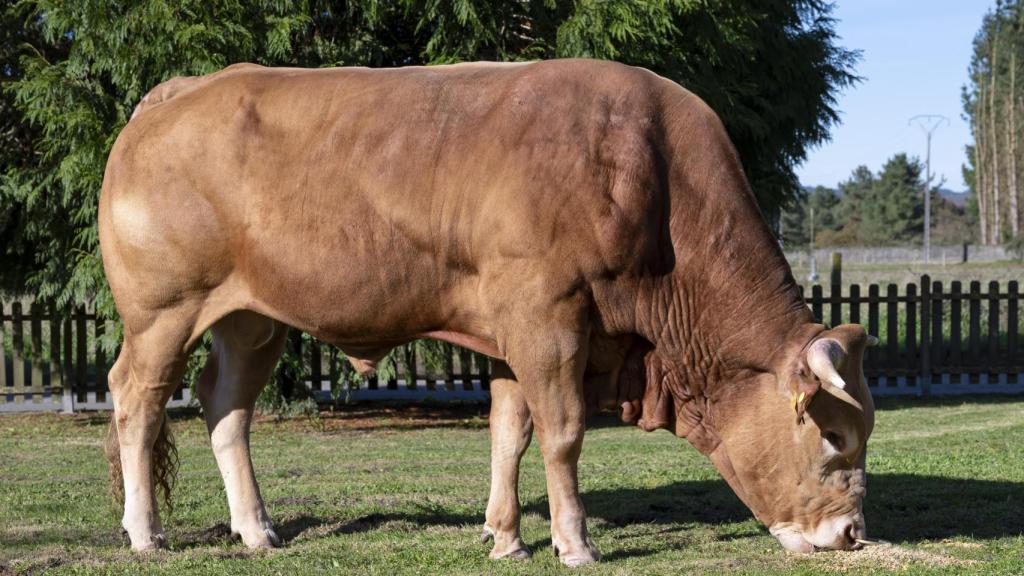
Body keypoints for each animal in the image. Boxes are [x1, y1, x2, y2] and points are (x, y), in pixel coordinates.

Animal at [99, 59, 875, 566]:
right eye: (835, 435)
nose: (850, 535)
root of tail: (178, 92)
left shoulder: (512, 332)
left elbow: (510, 434)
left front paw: (505, 536)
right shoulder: (547, 317)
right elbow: (562, 434)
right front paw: (574, 542)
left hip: (251, 318)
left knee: (226, 405)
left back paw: (256, 529)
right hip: (163, 311)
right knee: (137, 401)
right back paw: (145, 533)